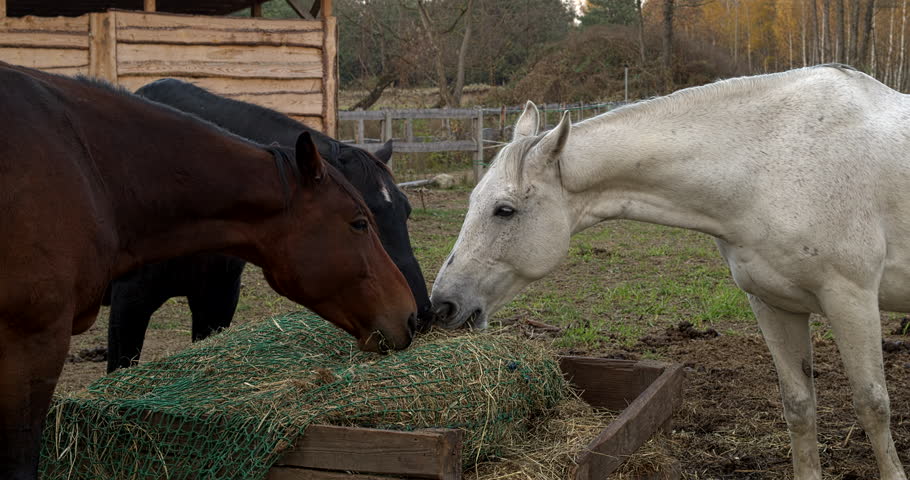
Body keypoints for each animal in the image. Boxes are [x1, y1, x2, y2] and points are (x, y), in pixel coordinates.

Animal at [430, 65, 908, 479]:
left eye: (504, 210)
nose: (442, 304)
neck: (770, 166)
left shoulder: (851, 299)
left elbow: (873, 406)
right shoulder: (774, 305)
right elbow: (799, 407)